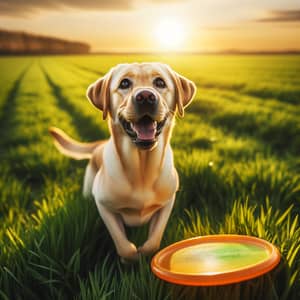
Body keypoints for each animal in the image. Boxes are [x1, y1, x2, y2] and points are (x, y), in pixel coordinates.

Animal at [49, 62, 195, 260]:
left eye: (160, 82)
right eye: (124, 83)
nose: (145, 97)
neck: (142, 167)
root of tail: (99, 144)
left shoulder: (167, 203)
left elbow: (154, 241)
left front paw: (145, 253)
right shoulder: (104, 206)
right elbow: (123, 245)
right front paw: (132, 258)